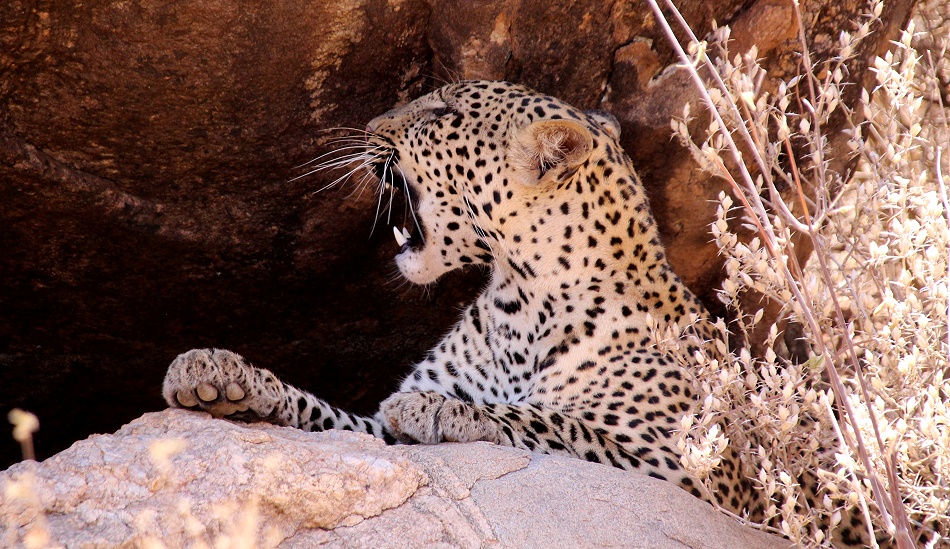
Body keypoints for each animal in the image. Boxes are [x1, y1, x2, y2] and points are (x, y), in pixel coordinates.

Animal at [163, 80, 898, 547]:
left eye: (441, 112)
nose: (368, 128)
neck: (523, 299)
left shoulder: (694, 473)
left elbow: (549, 421)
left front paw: (440, 409)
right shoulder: (376, 436)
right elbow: (326, 414)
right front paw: (220, 374)